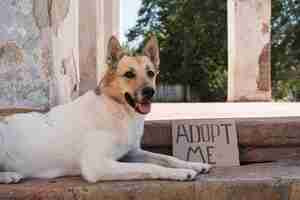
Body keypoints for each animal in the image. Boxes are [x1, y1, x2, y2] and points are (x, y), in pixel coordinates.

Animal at [0, 35, 211, 183]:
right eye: (129, 74)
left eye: (151, 73)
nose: (149, 92)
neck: (120, 110)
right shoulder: (97, 165)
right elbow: (150, 167)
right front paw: (181, 172)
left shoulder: (132, 152)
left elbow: (165, 157)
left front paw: (194, 164)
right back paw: (9, 176)